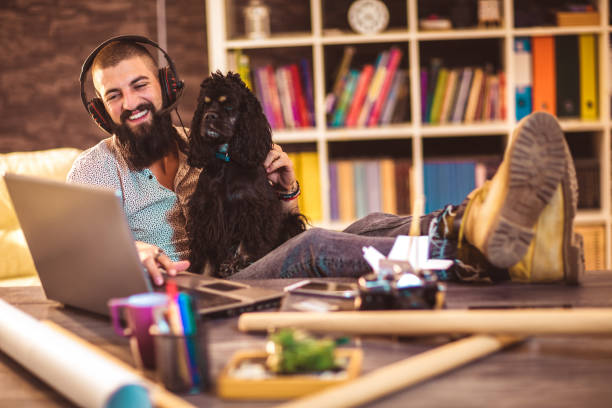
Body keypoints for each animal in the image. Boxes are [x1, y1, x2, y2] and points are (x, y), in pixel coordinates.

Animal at [185, 72, 306, 278]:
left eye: (229, 105)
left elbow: (247, 242)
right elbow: (207, 258)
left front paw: (236, 264)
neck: (226, 160)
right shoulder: (206, 215)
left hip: (290, 222)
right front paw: (204, 274)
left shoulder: (252, 208)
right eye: (205, 105)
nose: (208, 116)